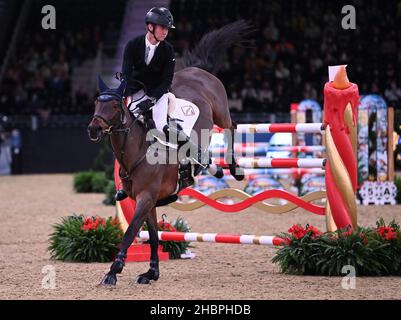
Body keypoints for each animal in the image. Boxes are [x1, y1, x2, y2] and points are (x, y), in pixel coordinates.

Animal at [87, 20, 252, 284]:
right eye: (96, 103)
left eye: (113, 104)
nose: (94, 129)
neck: (136, 152)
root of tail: (197, 70)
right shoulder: (149, 201)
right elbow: (154, 236)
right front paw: (151, 272)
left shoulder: (146, 197)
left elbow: (130, 232)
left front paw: (113, 270)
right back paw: (214, 168)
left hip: (221, 111)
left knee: (232, 126)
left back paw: (233, 168)